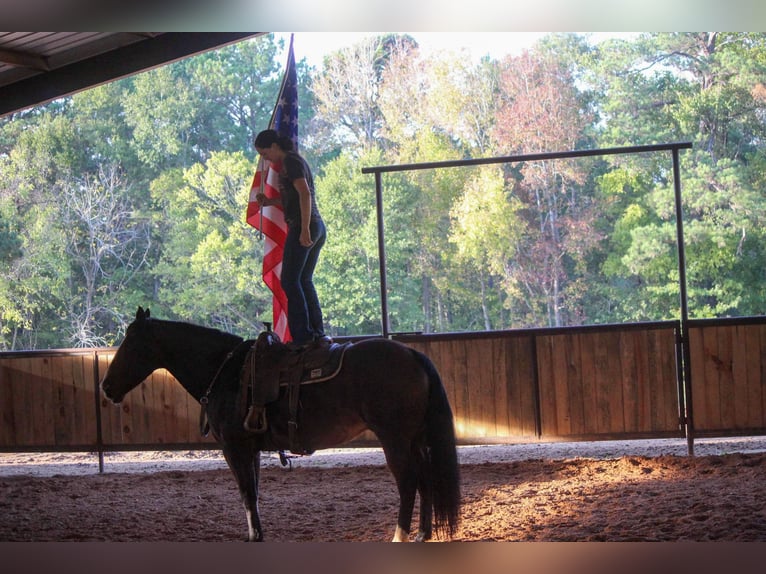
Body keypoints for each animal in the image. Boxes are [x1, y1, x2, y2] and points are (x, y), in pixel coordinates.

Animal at [102, 308, 462, 544]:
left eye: (130, 343)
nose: (106, 387)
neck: (225, 371)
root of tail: (413, 356)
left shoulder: (234, 447)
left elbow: (246, 492)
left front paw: (254, 537)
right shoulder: (251, 449)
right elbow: (253, 493)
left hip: (395, 439)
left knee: (409, 482)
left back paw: (400, 536)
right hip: (414, 439)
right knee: (425, 477)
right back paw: (422, 533)